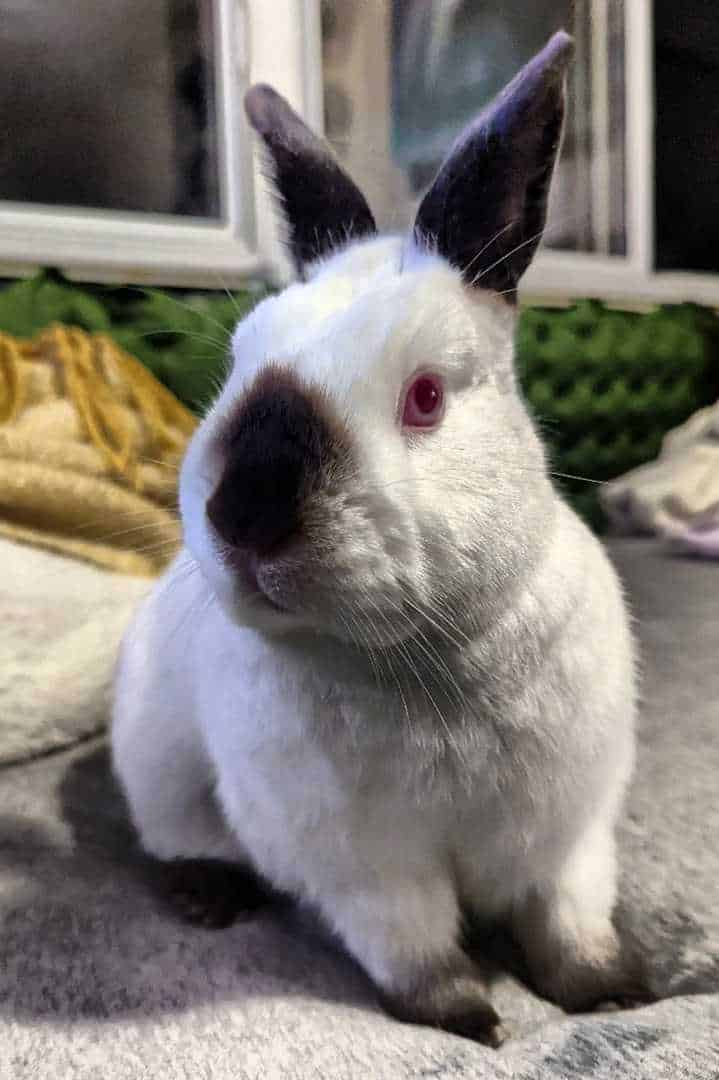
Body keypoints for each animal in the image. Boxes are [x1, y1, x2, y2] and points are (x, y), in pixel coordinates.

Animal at [112, 31, 643, 1045]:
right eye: (238, 364)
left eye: (426, 396)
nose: (244, 511)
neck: (426, 657)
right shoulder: (365, 871)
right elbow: (415, 951)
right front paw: (477, 1024)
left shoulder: (570, 832)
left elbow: (570, 926)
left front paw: (614, 993)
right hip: (157, 774)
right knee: (172, 844)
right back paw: (208, 899)